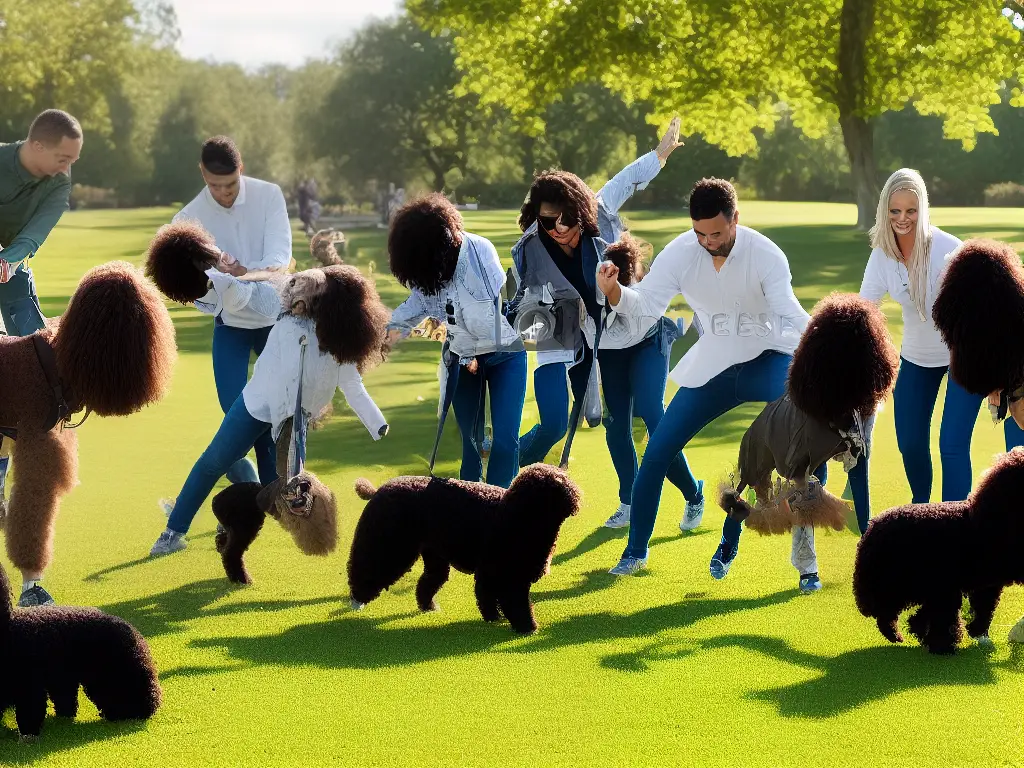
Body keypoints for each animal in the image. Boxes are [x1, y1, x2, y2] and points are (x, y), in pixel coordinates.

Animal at [348, 466, 581, 634]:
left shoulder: (491, 572)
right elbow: (517, 604)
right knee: (364, 569)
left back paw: (428, 606)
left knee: (428, 581)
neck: (516, 515)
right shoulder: (510, 577)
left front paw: (493, 618)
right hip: (388, 546)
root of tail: (377, 491)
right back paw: (357, 600)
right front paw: (528, 628)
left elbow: (487, 596)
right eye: (555, 484)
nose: (573, 497)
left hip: (433, 554)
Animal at [851, 450, 1024, 655]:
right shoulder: (947, 584)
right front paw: (943, 646)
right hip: (894, 580)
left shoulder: (981, 583)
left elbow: (982, 609)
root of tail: (872, 527)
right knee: (886, 612)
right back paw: (896, 635)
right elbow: (949, 616)